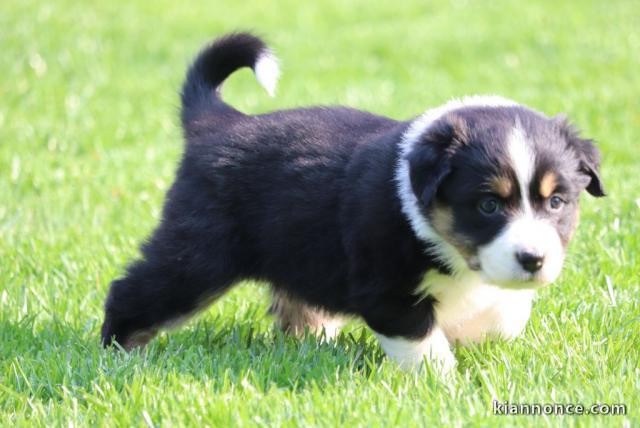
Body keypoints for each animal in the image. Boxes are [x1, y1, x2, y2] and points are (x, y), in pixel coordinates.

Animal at [100, 32, 604, 372]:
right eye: (487, 206)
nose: (533, 260)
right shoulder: (384, 286)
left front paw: (478, 335)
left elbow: (505, 315)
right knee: (133, 290)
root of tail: (219, 121)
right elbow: (422, 341)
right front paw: (443, 383)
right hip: (199, 255)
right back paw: (118, 355)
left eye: (557, 202)